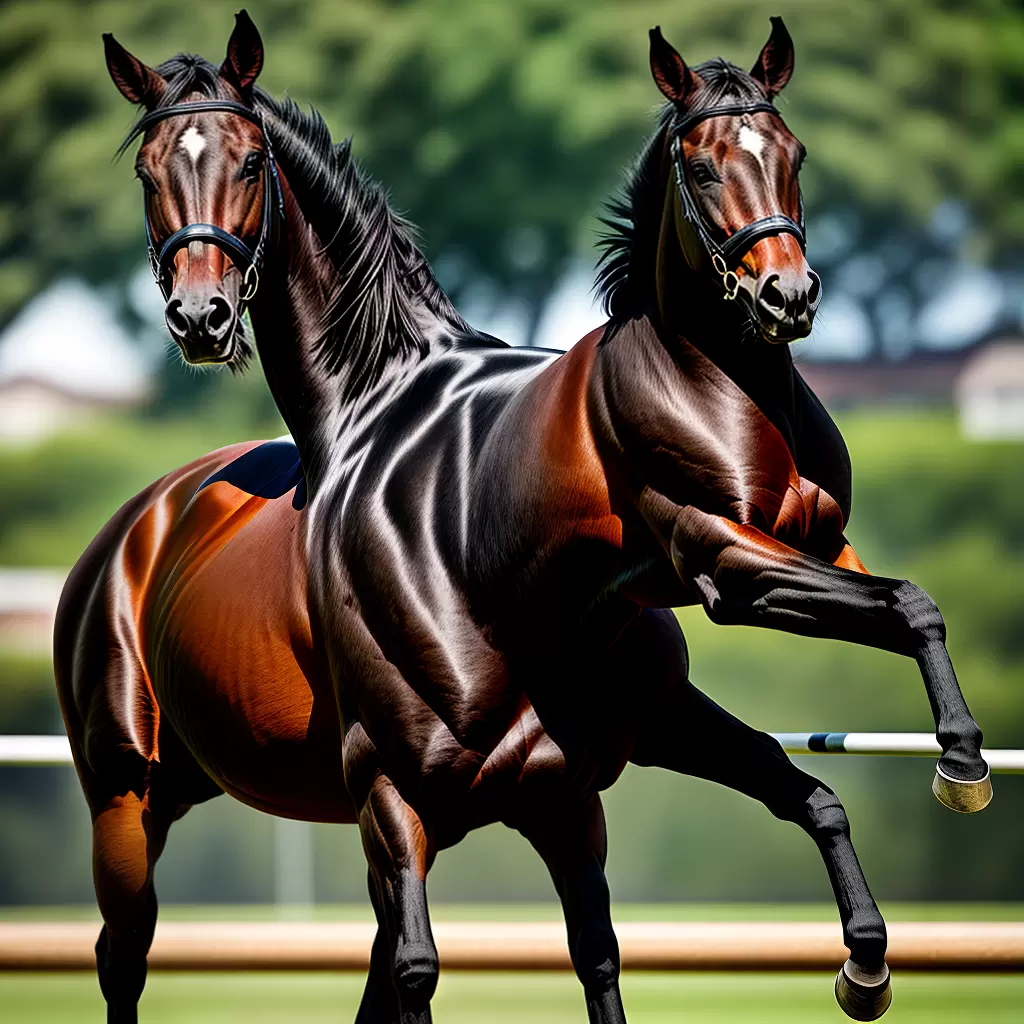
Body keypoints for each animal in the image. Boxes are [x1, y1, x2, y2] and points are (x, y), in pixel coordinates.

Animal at [55, 11, 990, 1023]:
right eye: (150, 171)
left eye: (252, 159)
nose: (203, 315)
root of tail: (128, 533)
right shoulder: (714, 565)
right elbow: (422, 969)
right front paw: (960, 765)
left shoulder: (583, 778)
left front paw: (880, 933)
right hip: (131, 803)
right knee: (125, 958)